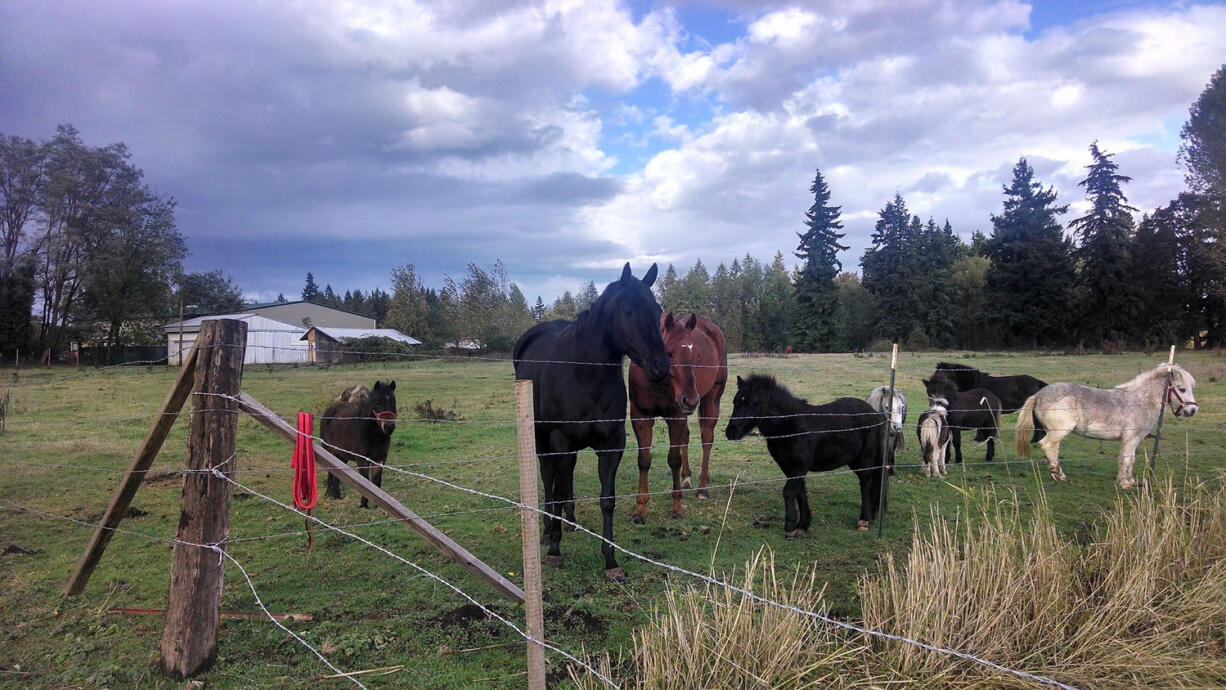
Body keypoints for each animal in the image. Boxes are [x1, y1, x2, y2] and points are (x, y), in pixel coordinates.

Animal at [323, 379, 399, 509]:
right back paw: (330, 493)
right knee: (330, 472)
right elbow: (365, 480)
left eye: (393, 401)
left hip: (342, 455)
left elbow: (376, 480)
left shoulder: (380, 458)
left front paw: (377, 506)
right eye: (376, 402)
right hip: (329, 451)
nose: (389, 427)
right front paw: (363, 504)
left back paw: (336, 494)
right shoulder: (362, 459)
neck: (372, 434)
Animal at [514, 264, 676, 583]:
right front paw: (555, 551)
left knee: (566, 477)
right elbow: (558, 489)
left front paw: (611, 561)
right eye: (628, 311)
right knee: (549, 479)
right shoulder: (560, 440)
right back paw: (548, 532)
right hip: (543, 440)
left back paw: (570, 521)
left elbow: (607, 499)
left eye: (657, 309)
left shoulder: (612, 445)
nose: (660, 366)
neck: (586, 375)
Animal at [632, 313, 725, 524]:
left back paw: (702, 487)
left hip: (712, 398)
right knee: (687, 437)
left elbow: (674, 460)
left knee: (707, 438)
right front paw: (640, 510)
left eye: (696, 355)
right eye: (669, 353)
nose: (690, 400)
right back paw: (686, 479)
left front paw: (677, 508)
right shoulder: (640, 417)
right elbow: (644, 460)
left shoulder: (676, 417)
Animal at [720, 375, 887, 536]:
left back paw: (864, 520)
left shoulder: (799, 468)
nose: (730, 432)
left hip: (865, 458)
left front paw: (790, 525)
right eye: (735, 401)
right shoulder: (790, 468)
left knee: (866, 482)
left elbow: (788, 492)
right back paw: (872, 515)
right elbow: (800, 492)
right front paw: (802, 526)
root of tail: (875, 414)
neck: (790, 425)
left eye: (752, 402)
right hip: (854, 461)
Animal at [1020, 365, 1201, 487]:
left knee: (1053, 449)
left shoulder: (1133, 440)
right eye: (1182, 389)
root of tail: (1038, 396)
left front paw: (1130, 480)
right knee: (1046, 445)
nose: (1192, 410)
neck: (1140, 402)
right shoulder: (1130, 438)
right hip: (1059, 432)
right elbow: (1126, 459)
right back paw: (1056, 474)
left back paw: (1059, 474)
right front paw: (1124, 483)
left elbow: (1130, 459)